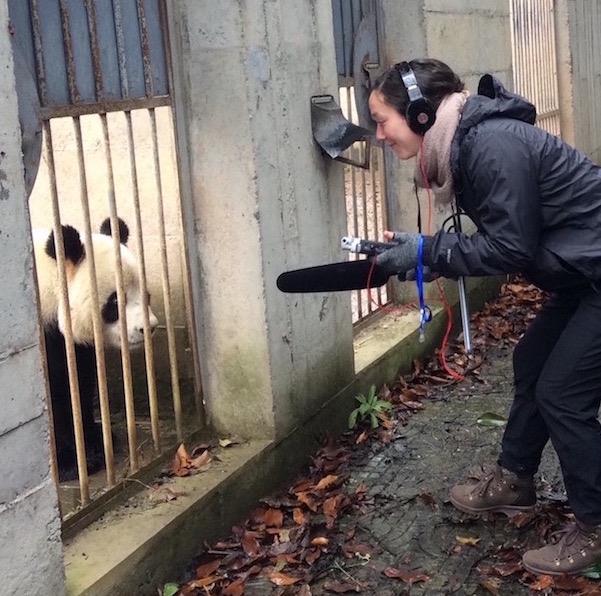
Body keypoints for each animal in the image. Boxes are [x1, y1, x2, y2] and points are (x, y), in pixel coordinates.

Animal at [33, 219, 157, 484]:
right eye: (115, 301)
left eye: (146, 295)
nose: (148, 328)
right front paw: (72, 464)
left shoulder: (71, 345)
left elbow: (78, 385)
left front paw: (95, 442)